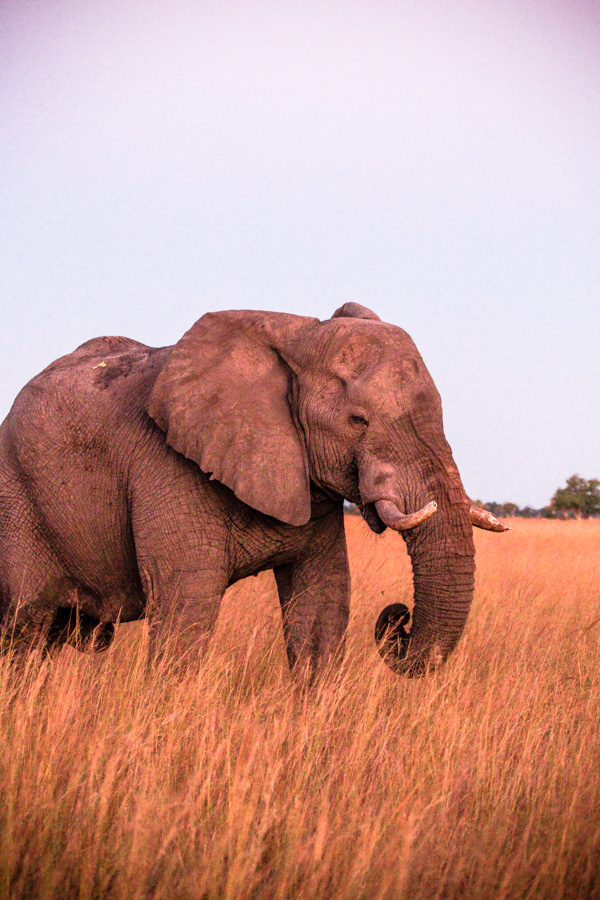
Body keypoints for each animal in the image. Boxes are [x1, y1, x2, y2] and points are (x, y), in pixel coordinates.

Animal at [0, 302, 506, 676]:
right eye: (358, 421)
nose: (398, 617)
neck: (298, 334)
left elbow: (322, 602)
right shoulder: (169, 470)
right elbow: (186, 607)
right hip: (17, 501)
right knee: (23, 629)